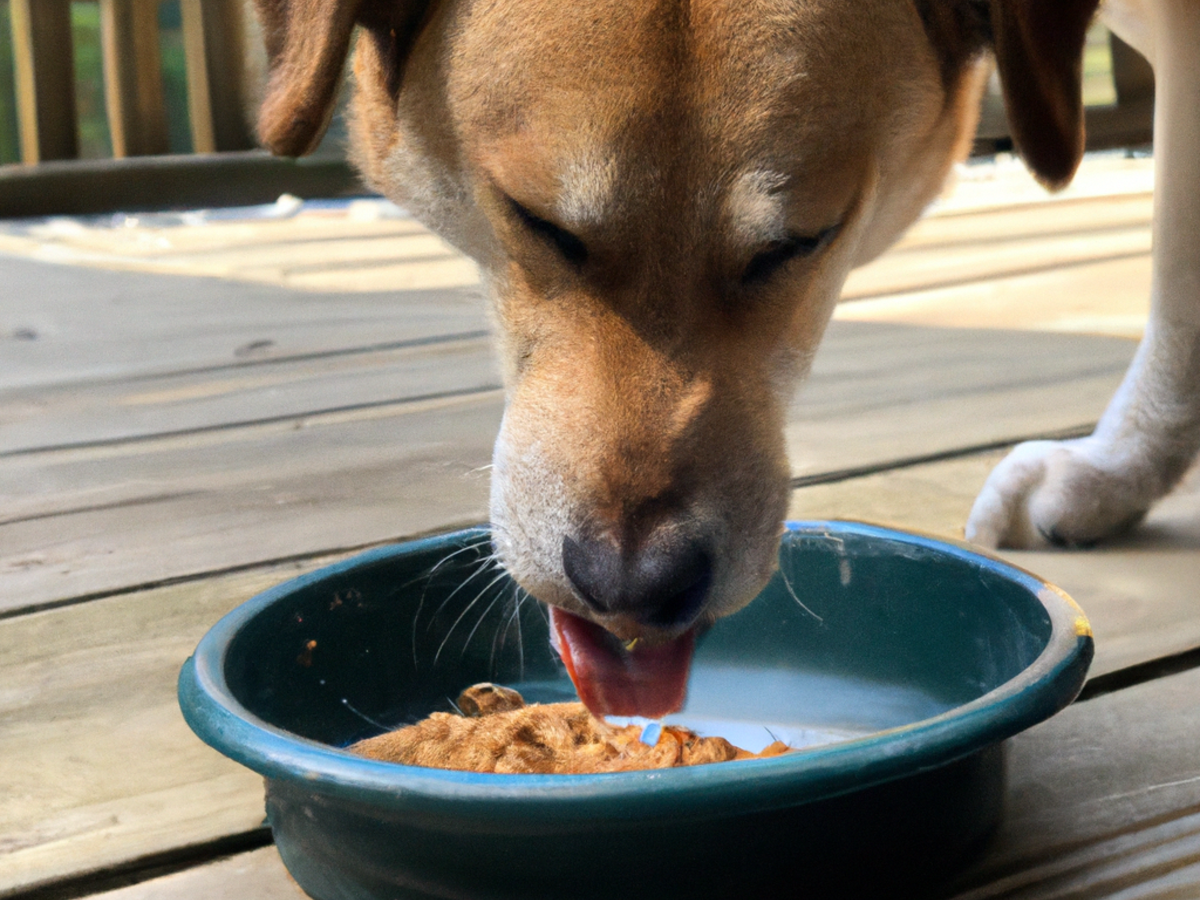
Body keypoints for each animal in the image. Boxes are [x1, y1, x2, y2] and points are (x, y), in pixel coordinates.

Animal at [248, 0, 1195, 720]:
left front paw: (1114, 471)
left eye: (798, 243)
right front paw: (1117, 473)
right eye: (536, 220)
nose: (632, 586)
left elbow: (1177, 278)